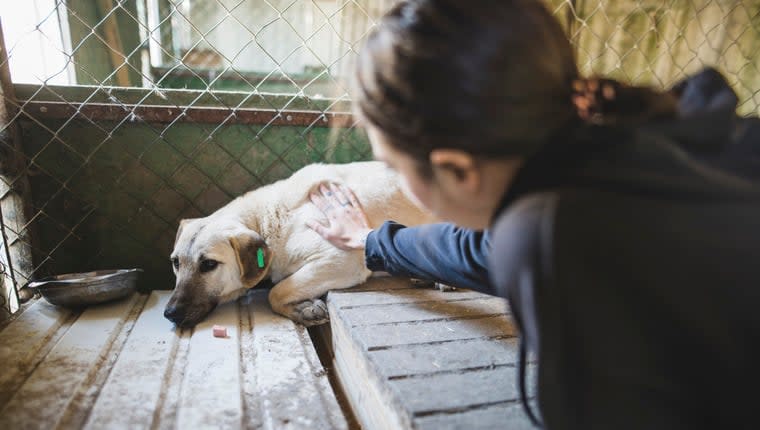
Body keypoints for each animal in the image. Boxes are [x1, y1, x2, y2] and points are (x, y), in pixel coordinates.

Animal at [164, 161, 434, 326]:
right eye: (176, 263)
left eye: (209, 264)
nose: (170, 313)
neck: (269, 218)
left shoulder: (340, 259)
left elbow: (275, 292)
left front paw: (301, 309)